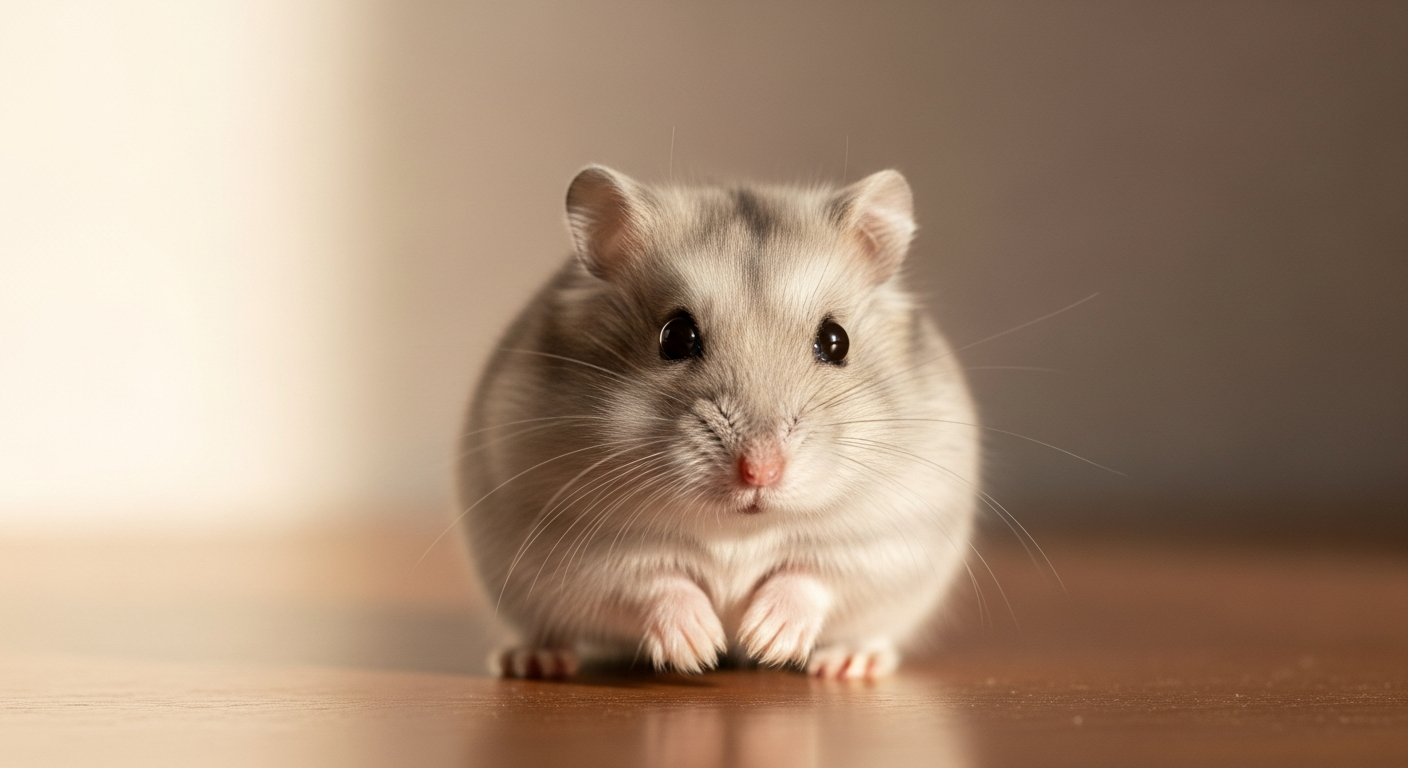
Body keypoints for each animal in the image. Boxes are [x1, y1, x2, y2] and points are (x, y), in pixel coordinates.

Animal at [457, 165, 978, 680]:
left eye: (836, 341)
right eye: (675, 337)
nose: (760, 472)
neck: (738, 530)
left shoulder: (881, 541)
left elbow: (810, 577)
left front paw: (764, 639)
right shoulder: (586, 547)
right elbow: (656, 582)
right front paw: (701, 650)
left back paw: (847, 663)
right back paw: (533, 661)